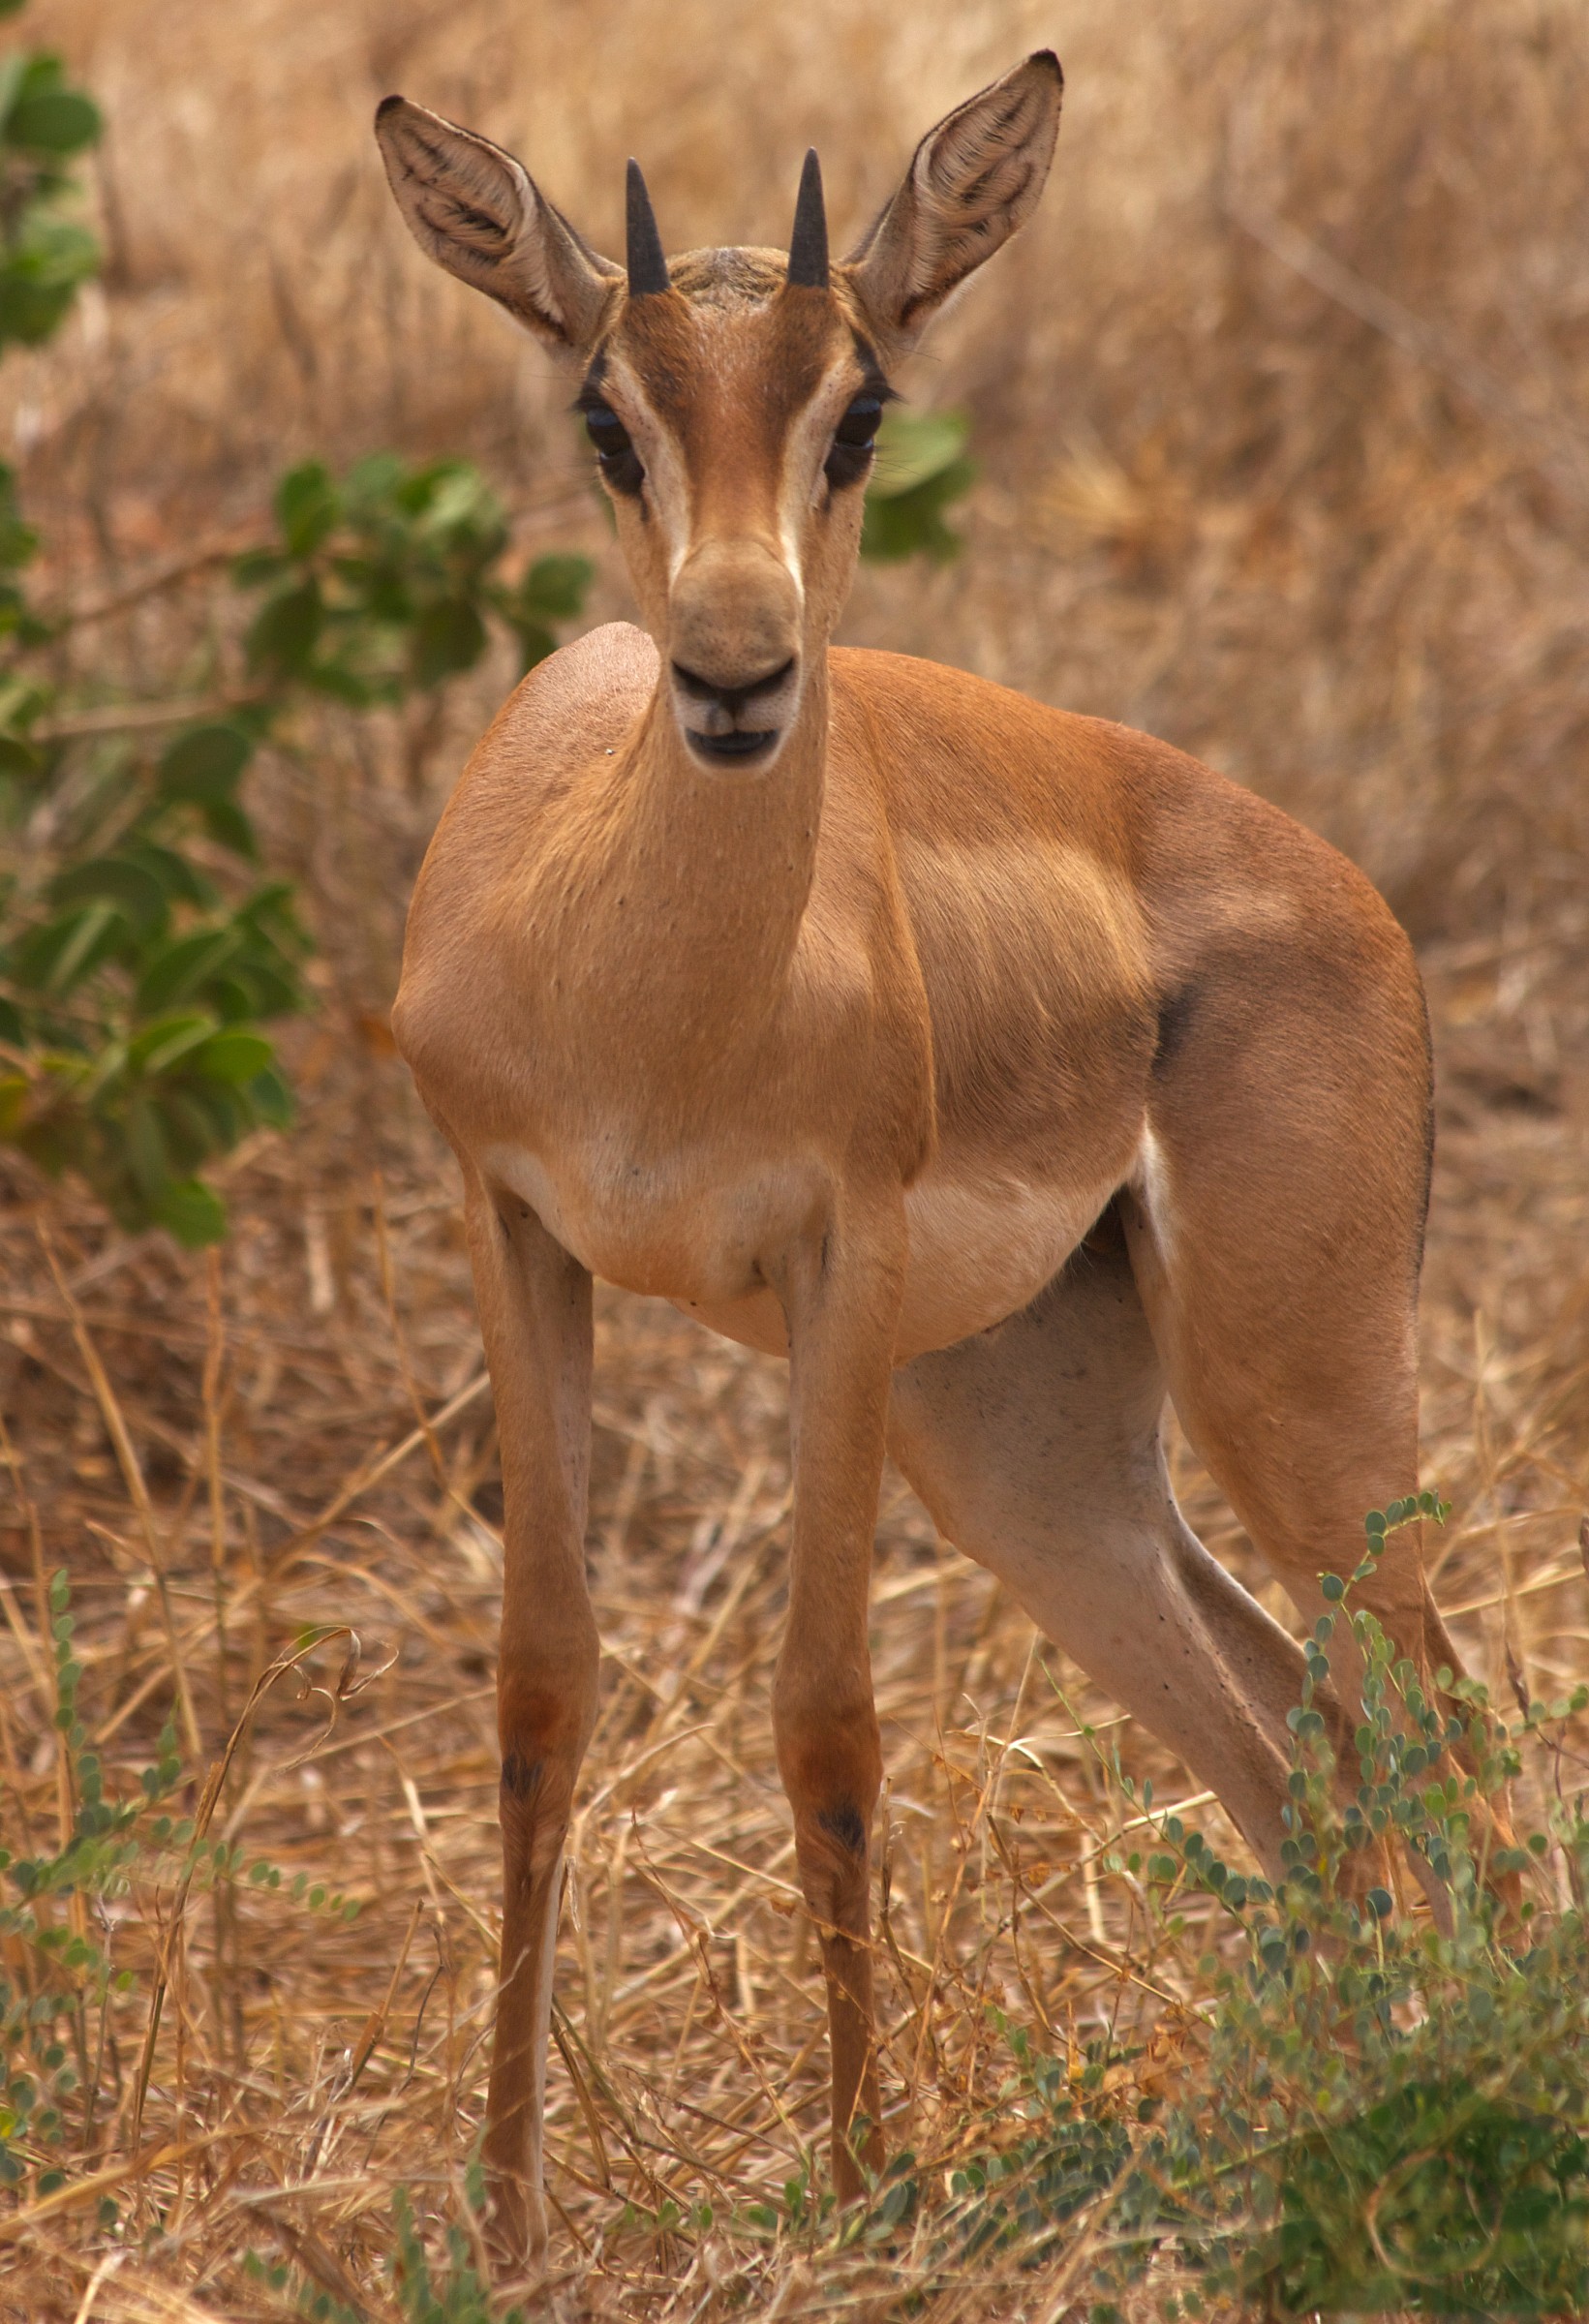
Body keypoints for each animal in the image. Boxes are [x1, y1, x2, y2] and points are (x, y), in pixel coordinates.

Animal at [374, 55, 1487, 2272]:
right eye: (605, 413)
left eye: (858, 407)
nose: (734, 671)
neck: (640, 979)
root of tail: (1353, 898)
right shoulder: (515, 1229)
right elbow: (540, 1693)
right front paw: (508, 2212)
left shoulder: (842, 1254)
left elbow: (825, 1711)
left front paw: (862, 2186)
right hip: (1025, 1453)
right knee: (1301, 1753)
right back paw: (1328, 2123)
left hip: (1295, 1397)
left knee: (1448, 1730)